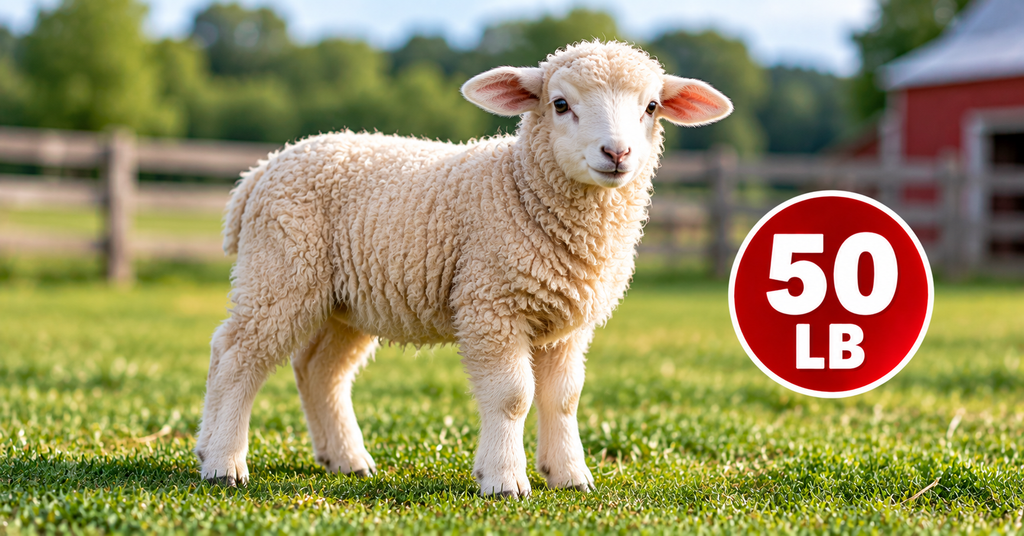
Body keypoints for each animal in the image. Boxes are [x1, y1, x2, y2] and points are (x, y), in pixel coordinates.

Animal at [194, 40, 732, 498]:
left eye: (652, 107)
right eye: (560, 104)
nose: (617, 153)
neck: (519, 186)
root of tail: (261, 170)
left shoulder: (566, 322)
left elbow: (564, 397)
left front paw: (569, 475)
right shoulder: (491, 305)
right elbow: (513, 396)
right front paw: (505, 480)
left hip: (344, 299)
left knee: (318, 370)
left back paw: (343, 459)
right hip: (281, 269)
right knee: (236, 354)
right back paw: (223, 461)